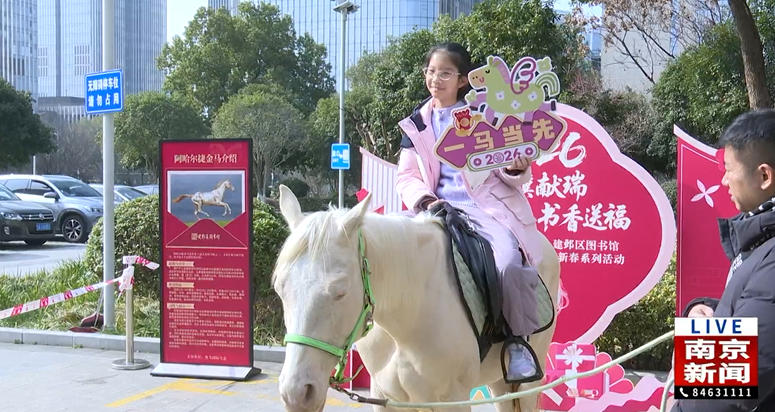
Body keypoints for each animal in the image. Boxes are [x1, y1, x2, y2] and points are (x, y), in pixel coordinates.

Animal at [273, 185, 560, 412]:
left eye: (340, 291)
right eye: (279, 289)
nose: (296, 393)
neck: (408, 315)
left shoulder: (452, 400)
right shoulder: (387, 398)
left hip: (527, 382)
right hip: (499, 381)